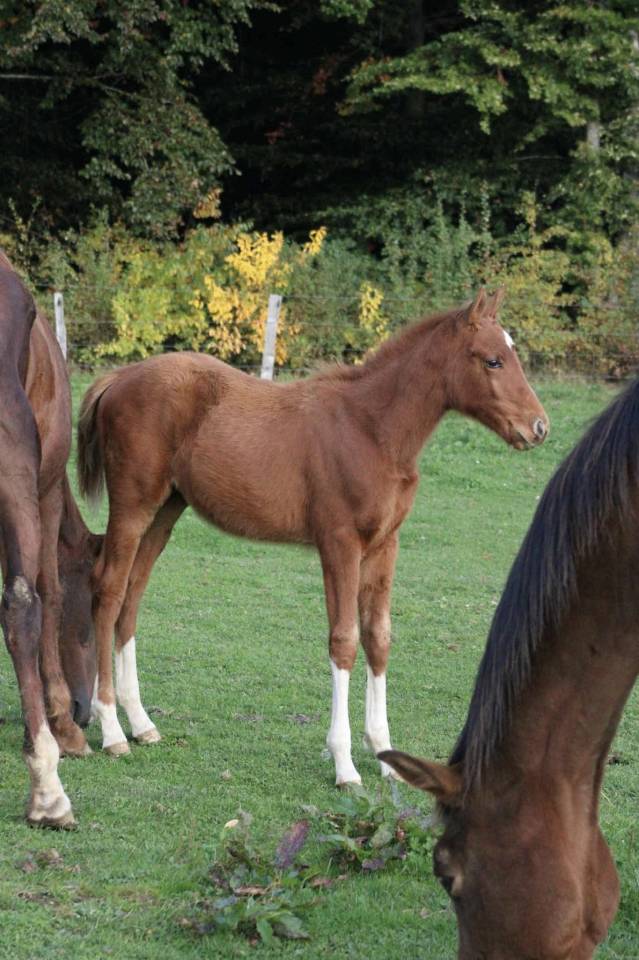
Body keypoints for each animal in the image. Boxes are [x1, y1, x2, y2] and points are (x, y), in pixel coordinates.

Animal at [77, 287, 548, 784]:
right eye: (493, 360)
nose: (539, 427)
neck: (372, 430)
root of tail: (119, 377)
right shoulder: (340, 544)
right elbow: (343, 640)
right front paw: (345, 764)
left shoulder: (384, 546)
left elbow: (378, 636)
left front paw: (385, 755)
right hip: (133, 506)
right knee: (109, 591)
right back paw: (111, 729)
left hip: (166, 511)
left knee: (132, 596)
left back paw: (141, 723)